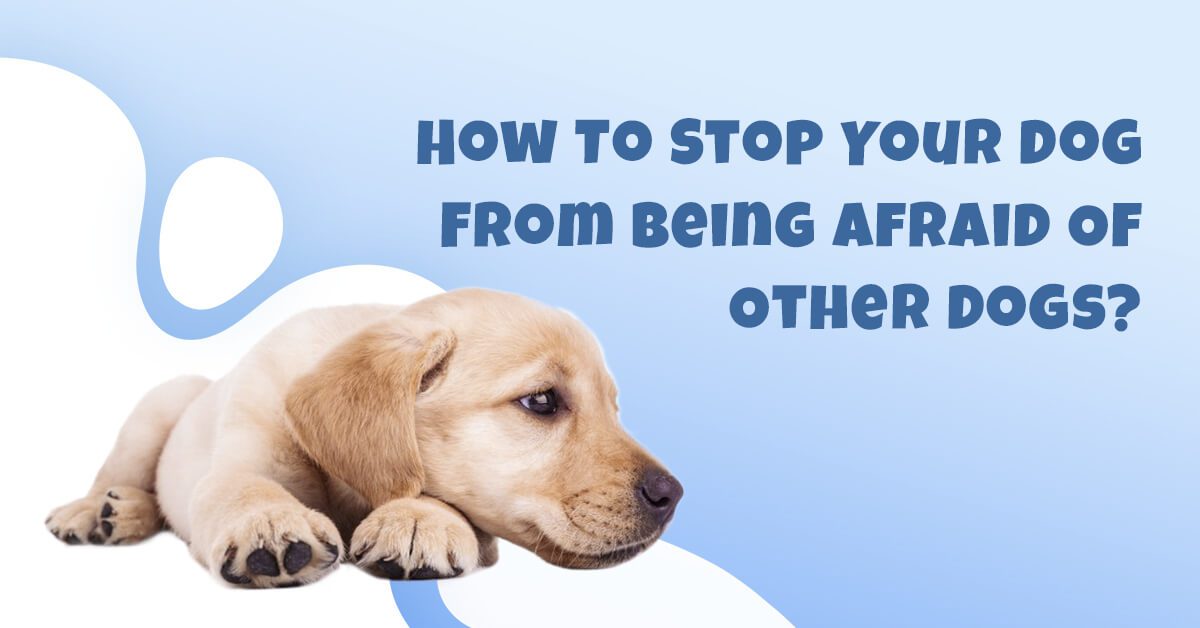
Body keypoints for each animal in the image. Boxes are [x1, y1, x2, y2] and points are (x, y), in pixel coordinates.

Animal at [44, 290, 686, 590]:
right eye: (542, 401)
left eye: (613, 408)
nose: (672, 495)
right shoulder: (243, 449)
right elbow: (240, 488)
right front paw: (270, 524)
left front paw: (420, 519)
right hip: (162, 403)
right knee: (121, 475)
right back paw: (104, 511)